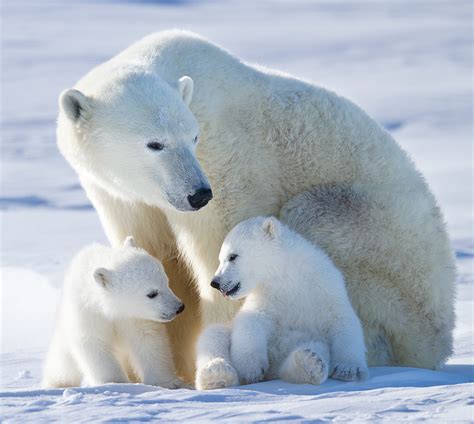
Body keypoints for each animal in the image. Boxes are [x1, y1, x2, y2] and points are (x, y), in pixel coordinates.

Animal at [56, 28, 456, 382]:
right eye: (154, 143)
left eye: (192, 137)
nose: (198, 194)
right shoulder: (121, 196)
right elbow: (153, 254)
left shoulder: (225, 160)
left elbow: (222, 254)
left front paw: (217, 364)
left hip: (386, 256)